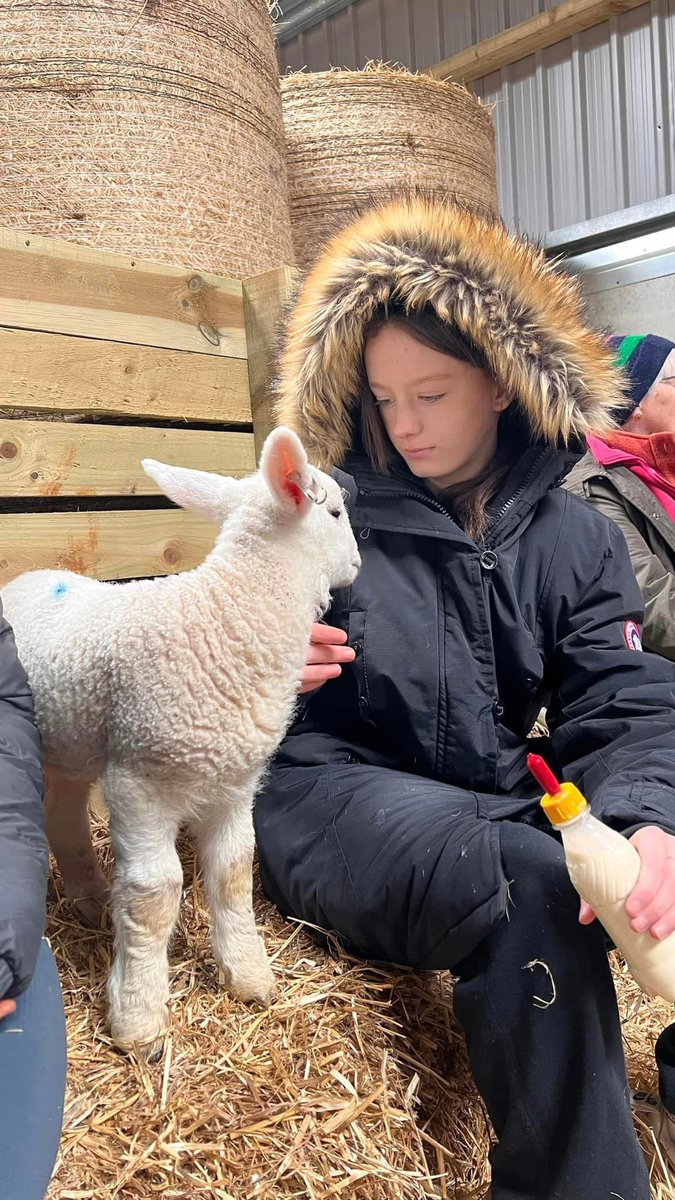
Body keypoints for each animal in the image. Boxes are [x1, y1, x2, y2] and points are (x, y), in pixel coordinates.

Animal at [2, 427, 360, 1056]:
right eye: (335, 512)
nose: (360, 563)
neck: (228, 618)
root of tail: (26, 578)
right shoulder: (139, 783)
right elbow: (154, 894)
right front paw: (139, 1017)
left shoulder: (236, 784)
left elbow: (234, 873)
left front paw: (249, 976)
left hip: (72, 734)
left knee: (62, 809)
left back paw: (91, 895)